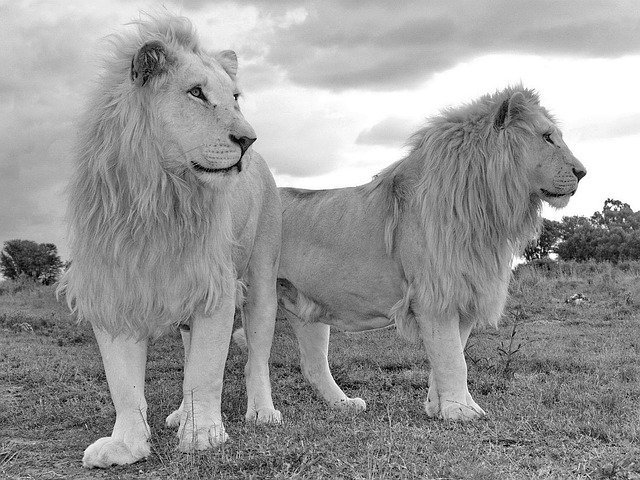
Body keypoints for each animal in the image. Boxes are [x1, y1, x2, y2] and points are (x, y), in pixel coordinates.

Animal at [56, 14, 282, 468]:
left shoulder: (216, 285)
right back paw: (180, 413)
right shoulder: (114, 287)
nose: (248, 140)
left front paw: (205, 435)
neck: (158, 195)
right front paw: (125, 445)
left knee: (257, 358)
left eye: (235, 98)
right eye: (196, 93)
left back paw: (262, 413)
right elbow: (124, 385)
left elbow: (206, 371)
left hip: (262, 278)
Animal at [272, 86, 584, 420]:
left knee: (312, 365)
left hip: (304, 308)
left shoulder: (464, 293)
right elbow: (453, 359)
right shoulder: (433, 295)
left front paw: (443, 406)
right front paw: (460, 410)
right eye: (547, 137)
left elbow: (449, 356)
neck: (484, 209)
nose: (583, 172)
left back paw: (344, 404)